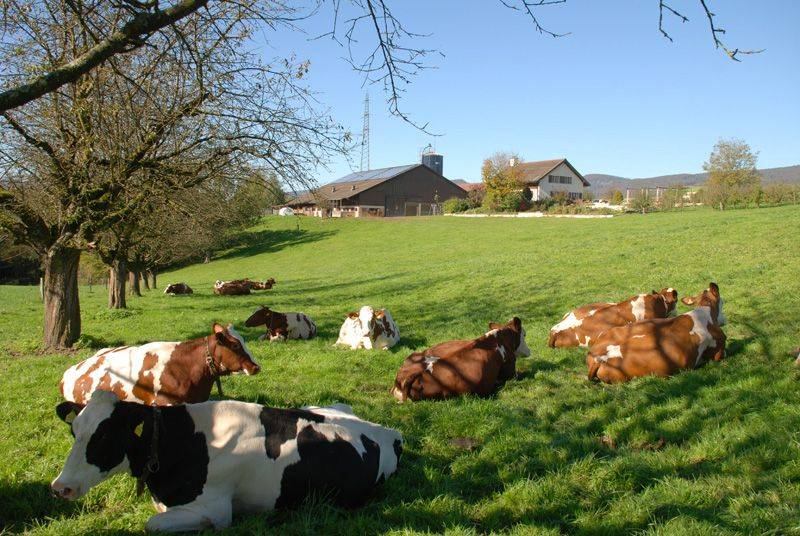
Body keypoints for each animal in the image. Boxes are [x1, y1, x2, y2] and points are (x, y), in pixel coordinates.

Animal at [53, 390, 404, 532]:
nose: (60, 487)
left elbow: (151, 524)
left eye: (104, 436)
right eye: (74, 431)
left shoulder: (216, 510)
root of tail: (389, 431)